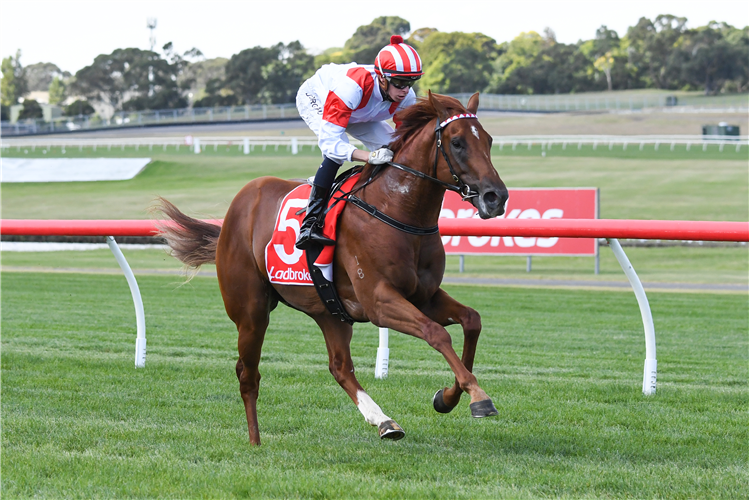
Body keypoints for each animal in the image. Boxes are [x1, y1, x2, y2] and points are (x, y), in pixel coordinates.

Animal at [158, 92, 508, 444]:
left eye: (489, 140)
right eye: (458, 143)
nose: (497, 197)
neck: (398, 211)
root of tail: (236, 208)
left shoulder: (424, 297)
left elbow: (471, 321)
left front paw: (447, 398)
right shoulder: (379, 301)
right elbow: (436, 333)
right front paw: (478, 397)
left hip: (330, 311)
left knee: (339, 366)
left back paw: (384, 420)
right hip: (251, 312)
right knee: (248, 373)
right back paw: (255, 442)